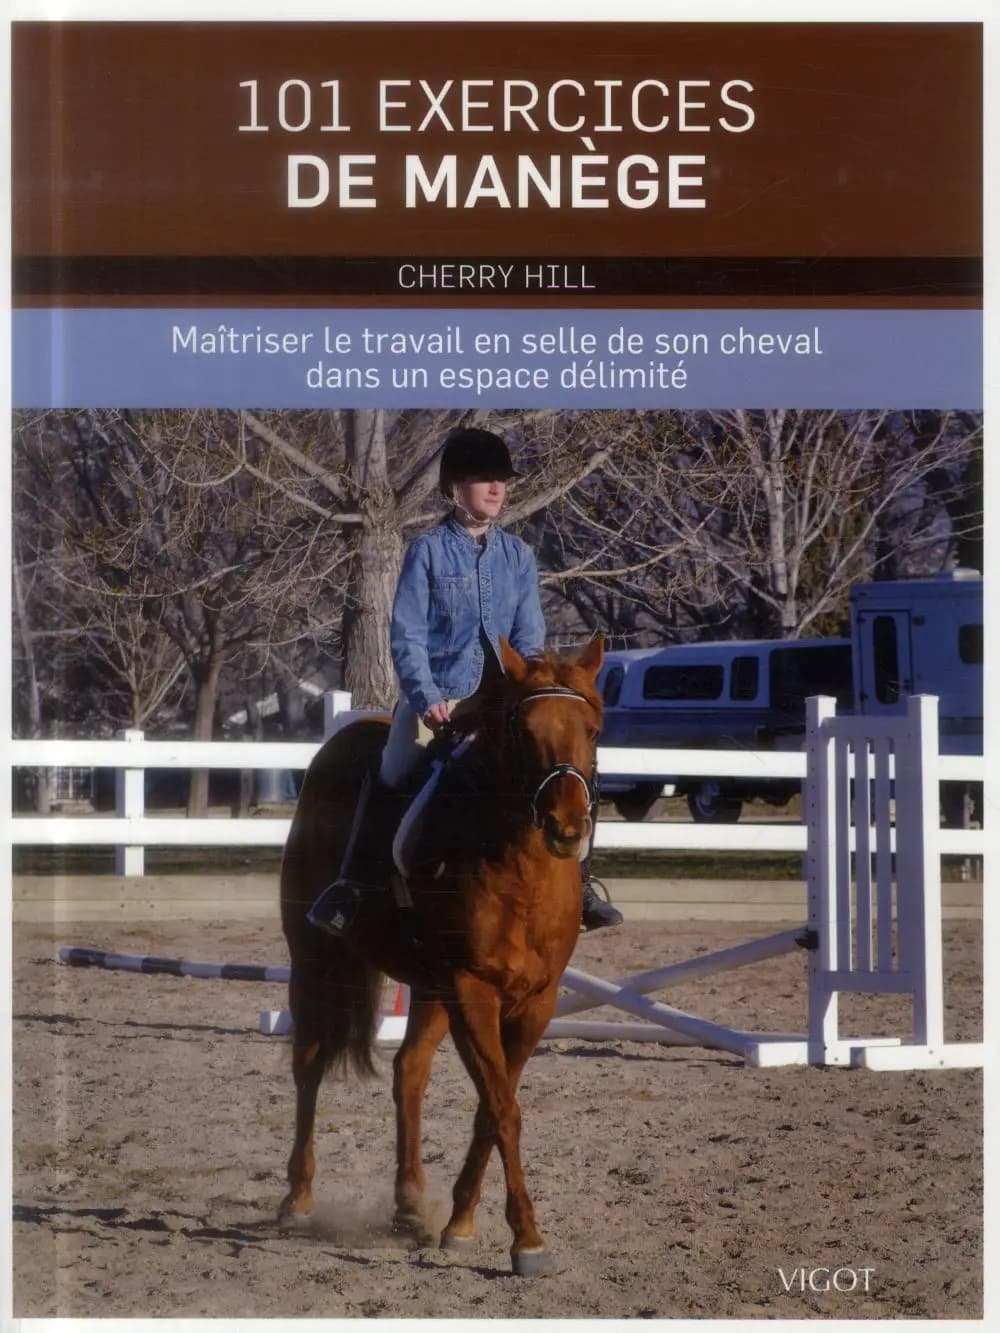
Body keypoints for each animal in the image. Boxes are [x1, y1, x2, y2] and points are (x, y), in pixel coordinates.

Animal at [277, 635, 604, 1276]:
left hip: (428, 987)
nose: (566, 827)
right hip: (316, 963)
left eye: (593, 729)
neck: (519, 869)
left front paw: (460, 1223)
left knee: (409, 1072)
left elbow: (491, 1106)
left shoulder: (536, 1001)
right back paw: (297, 1200)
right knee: (309, 1065)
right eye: (523, 730)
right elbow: (502, 1107)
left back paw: (408, 1203)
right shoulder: (471, 990)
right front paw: (527, 1240)